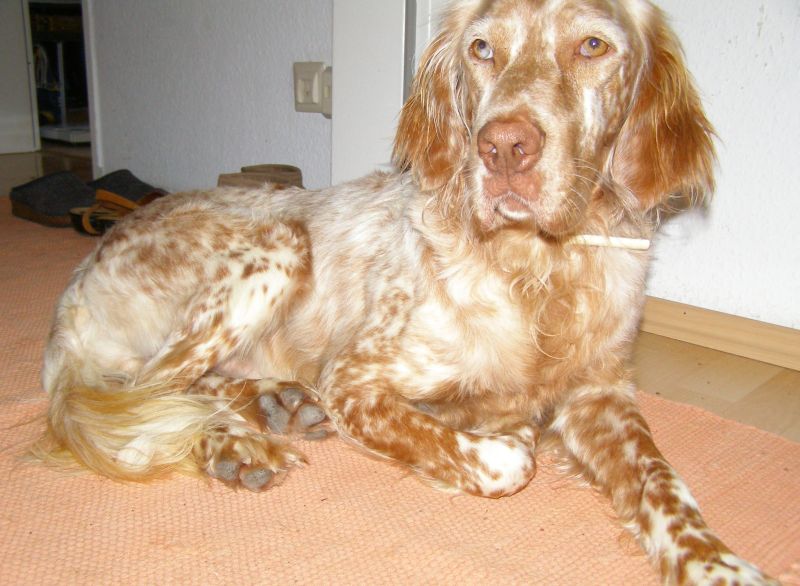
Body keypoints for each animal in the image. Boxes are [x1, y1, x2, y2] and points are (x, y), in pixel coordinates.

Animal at [37, 0, 777, 583]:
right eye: (483, 48)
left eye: (593, 45)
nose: (504, 146)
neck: (539, 268)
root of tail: (81, 274)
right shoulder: (354, 380)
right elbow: (506, 458)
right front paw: (490, 423)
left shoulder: (602, 396)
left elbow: (666, 485)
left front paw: (719, 564)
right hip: (280, 240)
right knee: (145, 391)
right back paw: (232, 443)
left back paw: (276, 403)